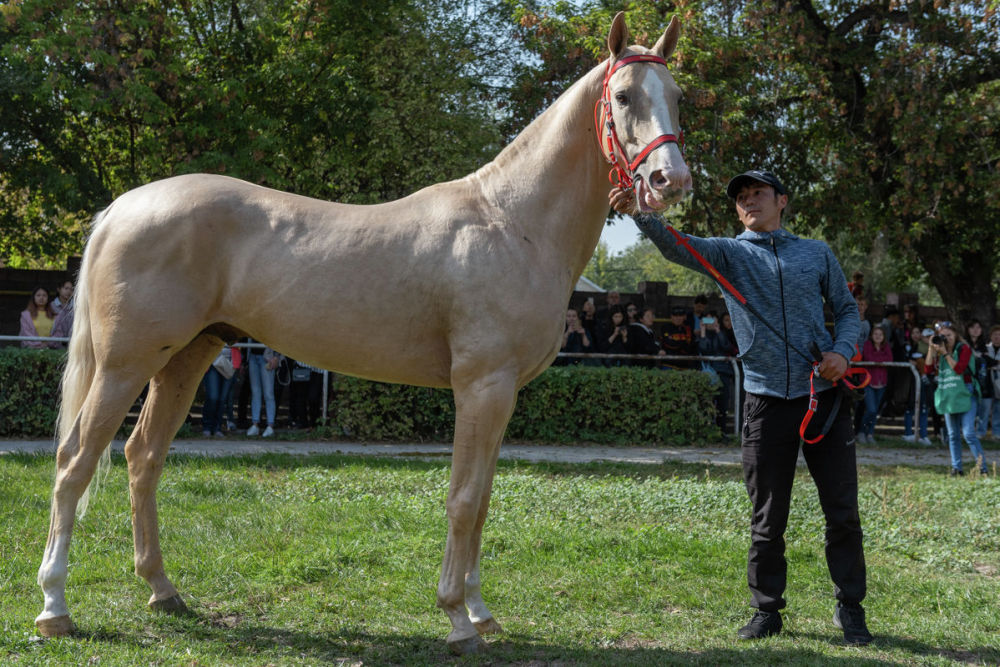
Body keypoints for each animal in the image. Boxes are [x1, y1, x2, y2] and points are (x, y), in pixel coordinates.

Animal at [35, 11, 692, 656]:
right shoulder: (481, 386)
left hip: (186, 357)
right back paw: (54, 608)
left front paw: (481, 612)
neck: (510, 222)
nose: (670, 180)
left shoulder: (503, 394)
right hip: (125, 365)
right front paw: (456, 617)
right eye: (625, 95)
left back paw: (163, 592)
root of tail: (120, 210)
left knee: (143, 456)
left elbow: (482, 500)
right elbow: (462, 499)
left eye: (678, 95)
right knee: (75, 461)